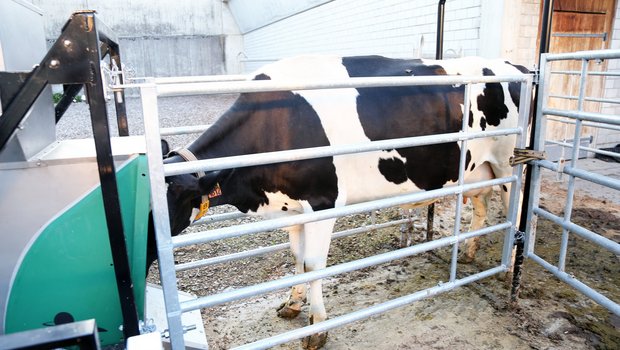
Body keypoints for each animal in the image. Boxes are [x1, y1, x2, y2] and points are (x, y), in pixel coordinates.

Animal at [156, 56, 528, 348]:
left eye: (160, 207)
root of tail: (515, 65)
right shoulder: (294, 208)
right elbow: (297, 259)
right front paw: (293, 303)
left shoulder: (324, 202)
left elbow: (313, 266)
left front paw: (317, 328)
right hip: (479, 170)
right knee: (481, 206)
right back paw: (468, 252)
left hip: (508, 161)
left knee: (517, 205)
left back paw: (510, 270)